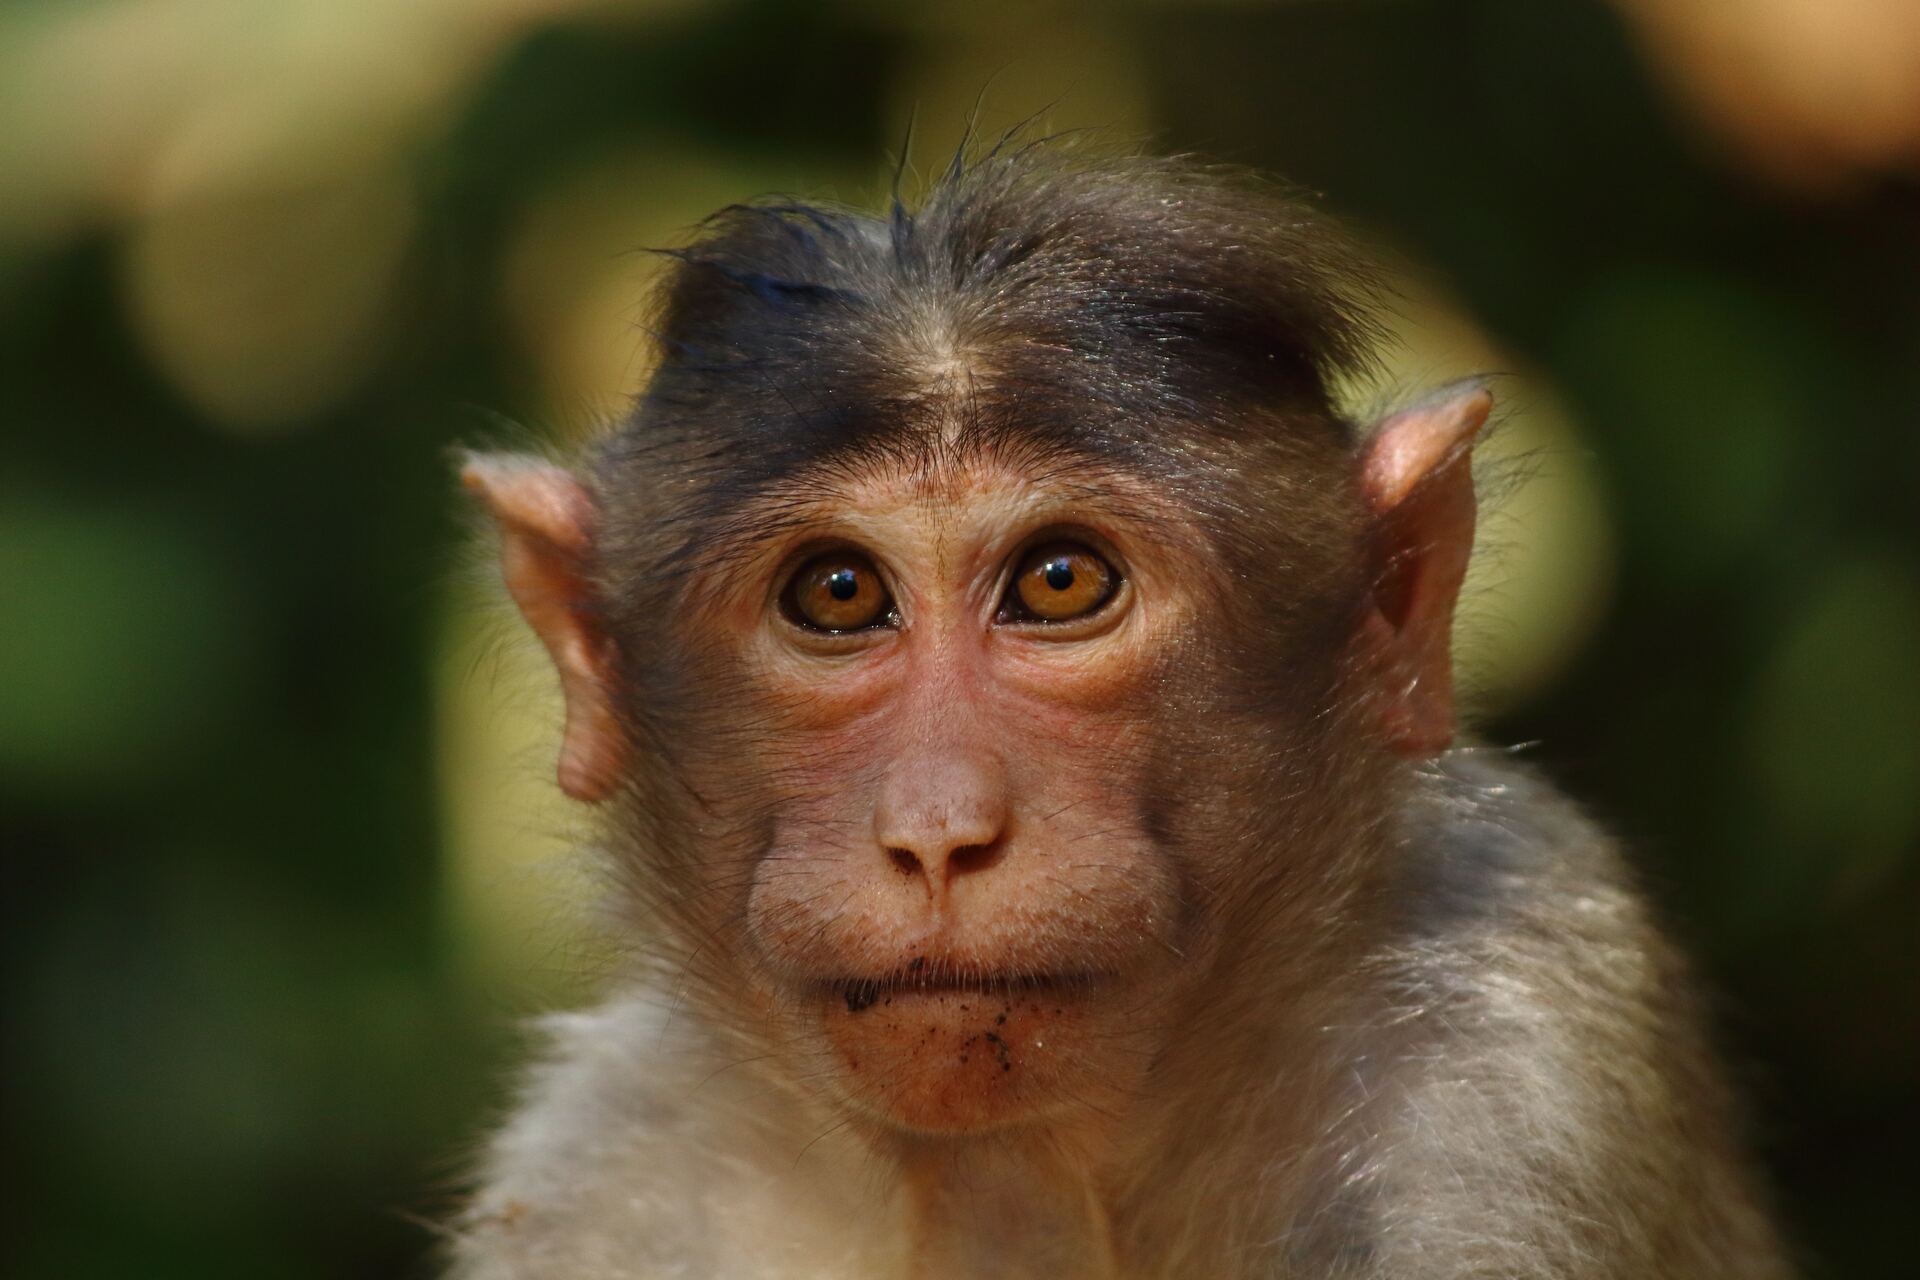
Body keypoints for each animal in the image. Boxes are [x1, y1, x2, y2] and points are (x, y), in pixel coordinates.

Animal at [441, 147, 1789, 1280]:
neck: (1019, 1180)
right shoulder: (596, 1165)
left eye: (1059, 580)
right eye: (838, 592)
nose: (938, 830)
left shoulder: (1509, 1087)